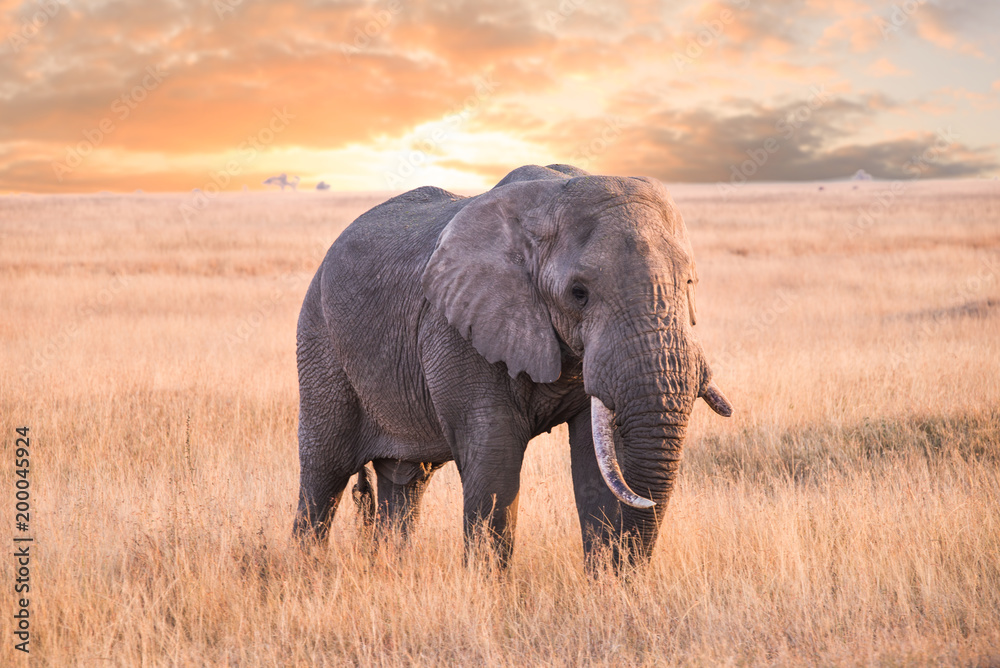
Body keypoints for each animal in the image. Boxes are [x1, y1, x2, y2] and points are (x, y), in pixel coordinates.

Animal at [292, 163, 732, 570]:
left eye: (689, 284)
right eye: (579, 293)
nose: (626, 574)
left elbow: (597, 467)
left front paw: (607, 589)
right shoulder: (458, 328)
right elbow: (494, 462)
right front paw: (487, 590)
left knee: (405, 480)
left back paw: (391, 570)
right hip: (319, 339)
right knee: (324, 472)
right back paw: (307, 569)